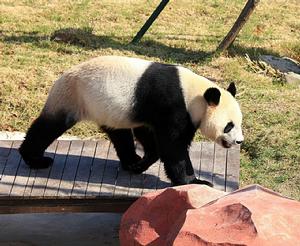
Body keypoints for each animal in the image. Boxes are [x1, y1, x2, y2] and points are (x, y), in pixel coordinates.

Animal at [19, 56, 244, 186]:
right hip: (73, 96)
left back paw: (131, 161)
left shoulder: (147, 112)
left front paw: (140, 164)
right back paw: (36, 159)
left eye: (239, 123)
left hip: (108, 109)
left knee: (119, 134)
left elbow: (150, 138)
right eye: (229, 125)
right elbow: (173, 146)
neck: (194, 94)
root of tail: (62, 76)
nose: (239, 141)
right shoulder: (172, 105)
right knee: (49, 126)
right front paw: (194, 181)